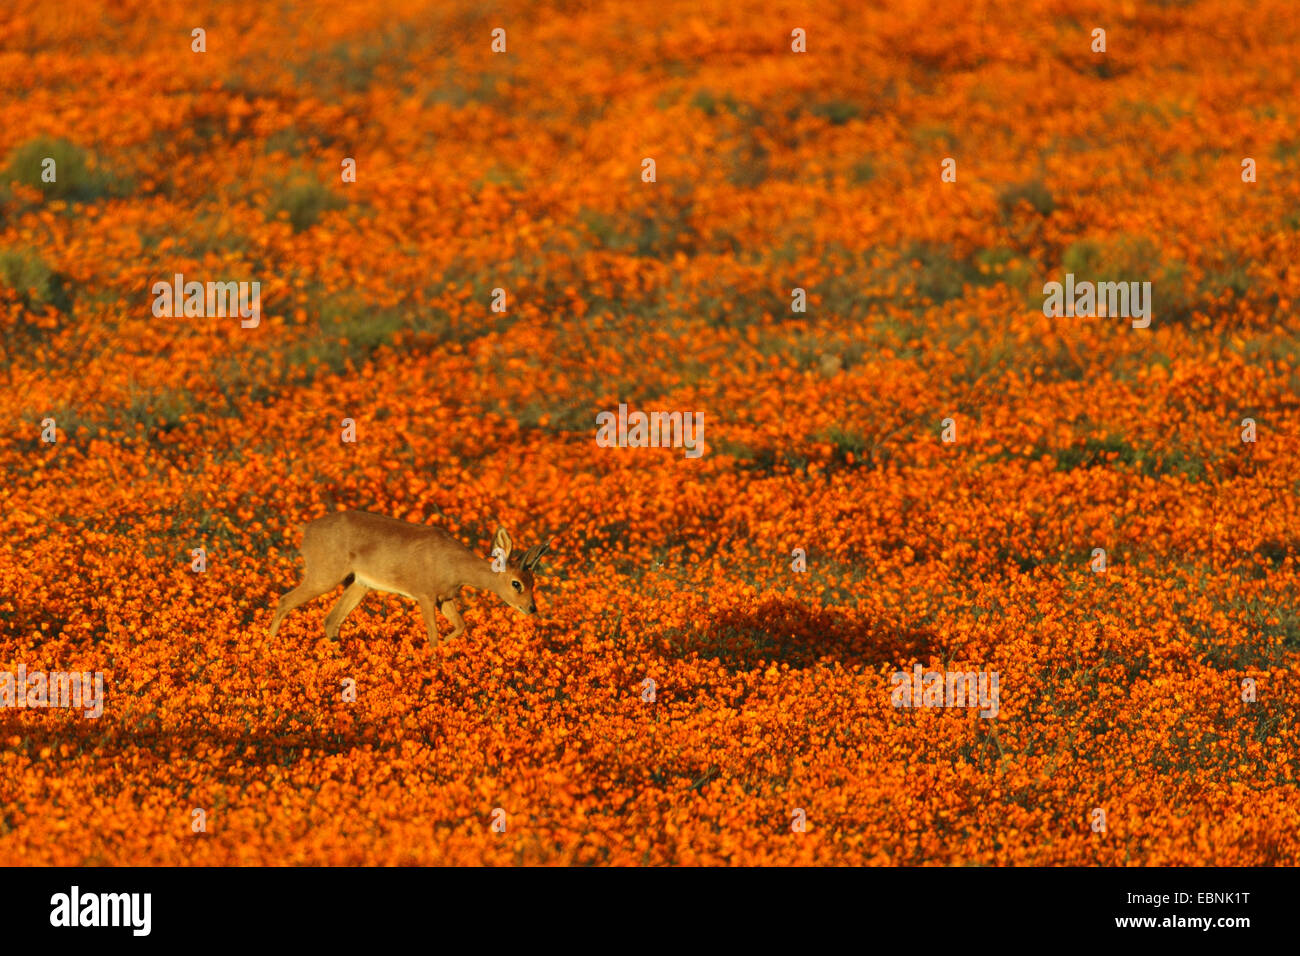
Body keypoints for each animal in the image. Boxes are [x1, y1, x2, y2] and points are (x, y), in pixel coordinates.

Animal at [266, 512, 551, 647]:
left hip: (358, 584)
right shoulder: (424, 595)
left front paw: (446, 646)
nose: (531, 608)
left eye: (533, 581)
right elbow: (433, 636)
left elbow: (460, 626)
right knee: (284, 600)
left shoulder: (445, 598)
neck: (454, 565)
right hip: (324, 576)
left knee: (330, 621)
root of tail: (307, 529)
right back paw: (268, 646)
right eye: (516, 583)